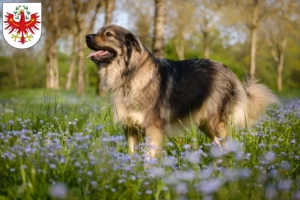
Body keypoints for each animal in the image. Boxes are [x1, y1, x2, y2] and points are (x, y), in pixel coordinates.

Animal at [85, 25, 278, 157]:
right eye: (99, 31)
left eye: (108, 35)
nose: (87, 36)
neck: (129, 73)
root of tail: (229, 71)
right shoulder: (131, 128)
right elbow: (132, 155)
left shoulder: (153, 128)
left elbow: (149, 157)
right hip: (206, 124)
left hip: (216, 122)